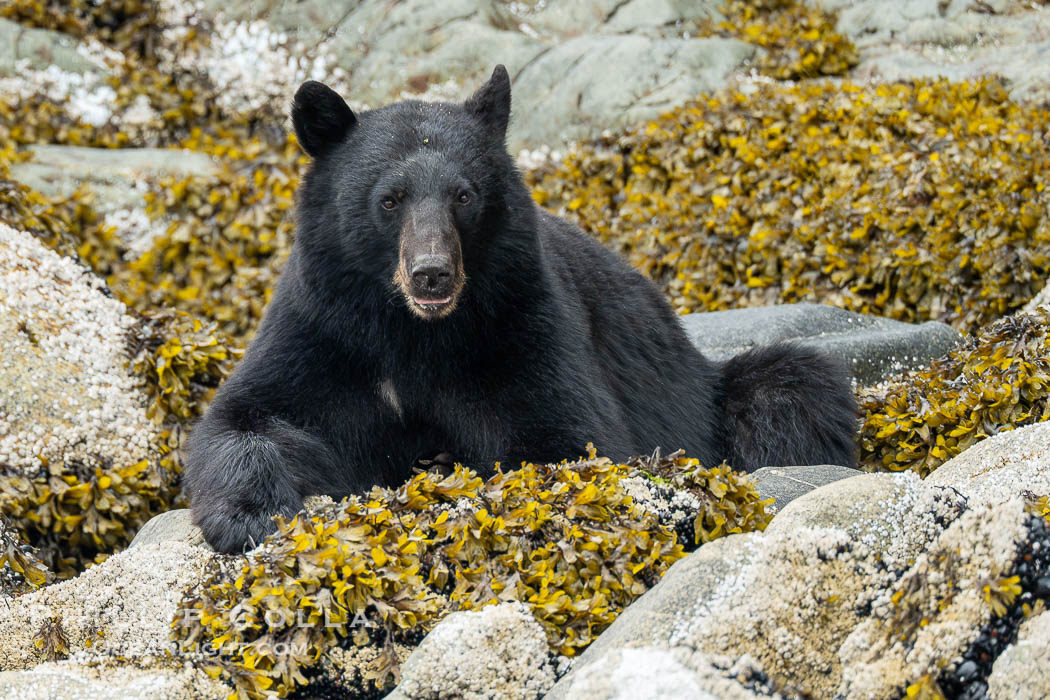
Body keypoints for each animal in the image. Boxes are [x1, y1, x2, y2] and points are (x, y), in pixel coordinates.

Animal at [184, 65, 858, 554]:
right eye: (389, 199)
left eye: (464, 195)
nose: (432, 273)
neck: (413, 331)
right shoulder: (324, 328)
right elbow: (248, 417)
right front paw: (253, 513)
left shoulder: (519, 321)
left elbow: (564, 434)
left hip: (715, 393)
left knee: (790, 388)